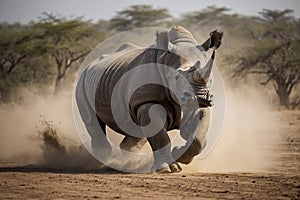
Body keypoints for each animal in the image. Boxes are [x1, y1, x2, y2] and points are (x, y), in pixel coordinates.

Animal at [77, 25, 223, 173]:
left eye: (210, 78)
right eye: (176, 77)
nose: (201, 97)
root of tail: (90, 64)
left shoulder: (196, 105)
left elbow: (198, 136)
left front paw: (179, 154)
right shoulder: (147, 101)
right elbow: (160, 136)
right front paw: (168, 168)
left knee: (135, 130)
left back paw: (128, 163)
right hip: (81, 81)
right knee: (92, 122)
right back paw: (104, 162)